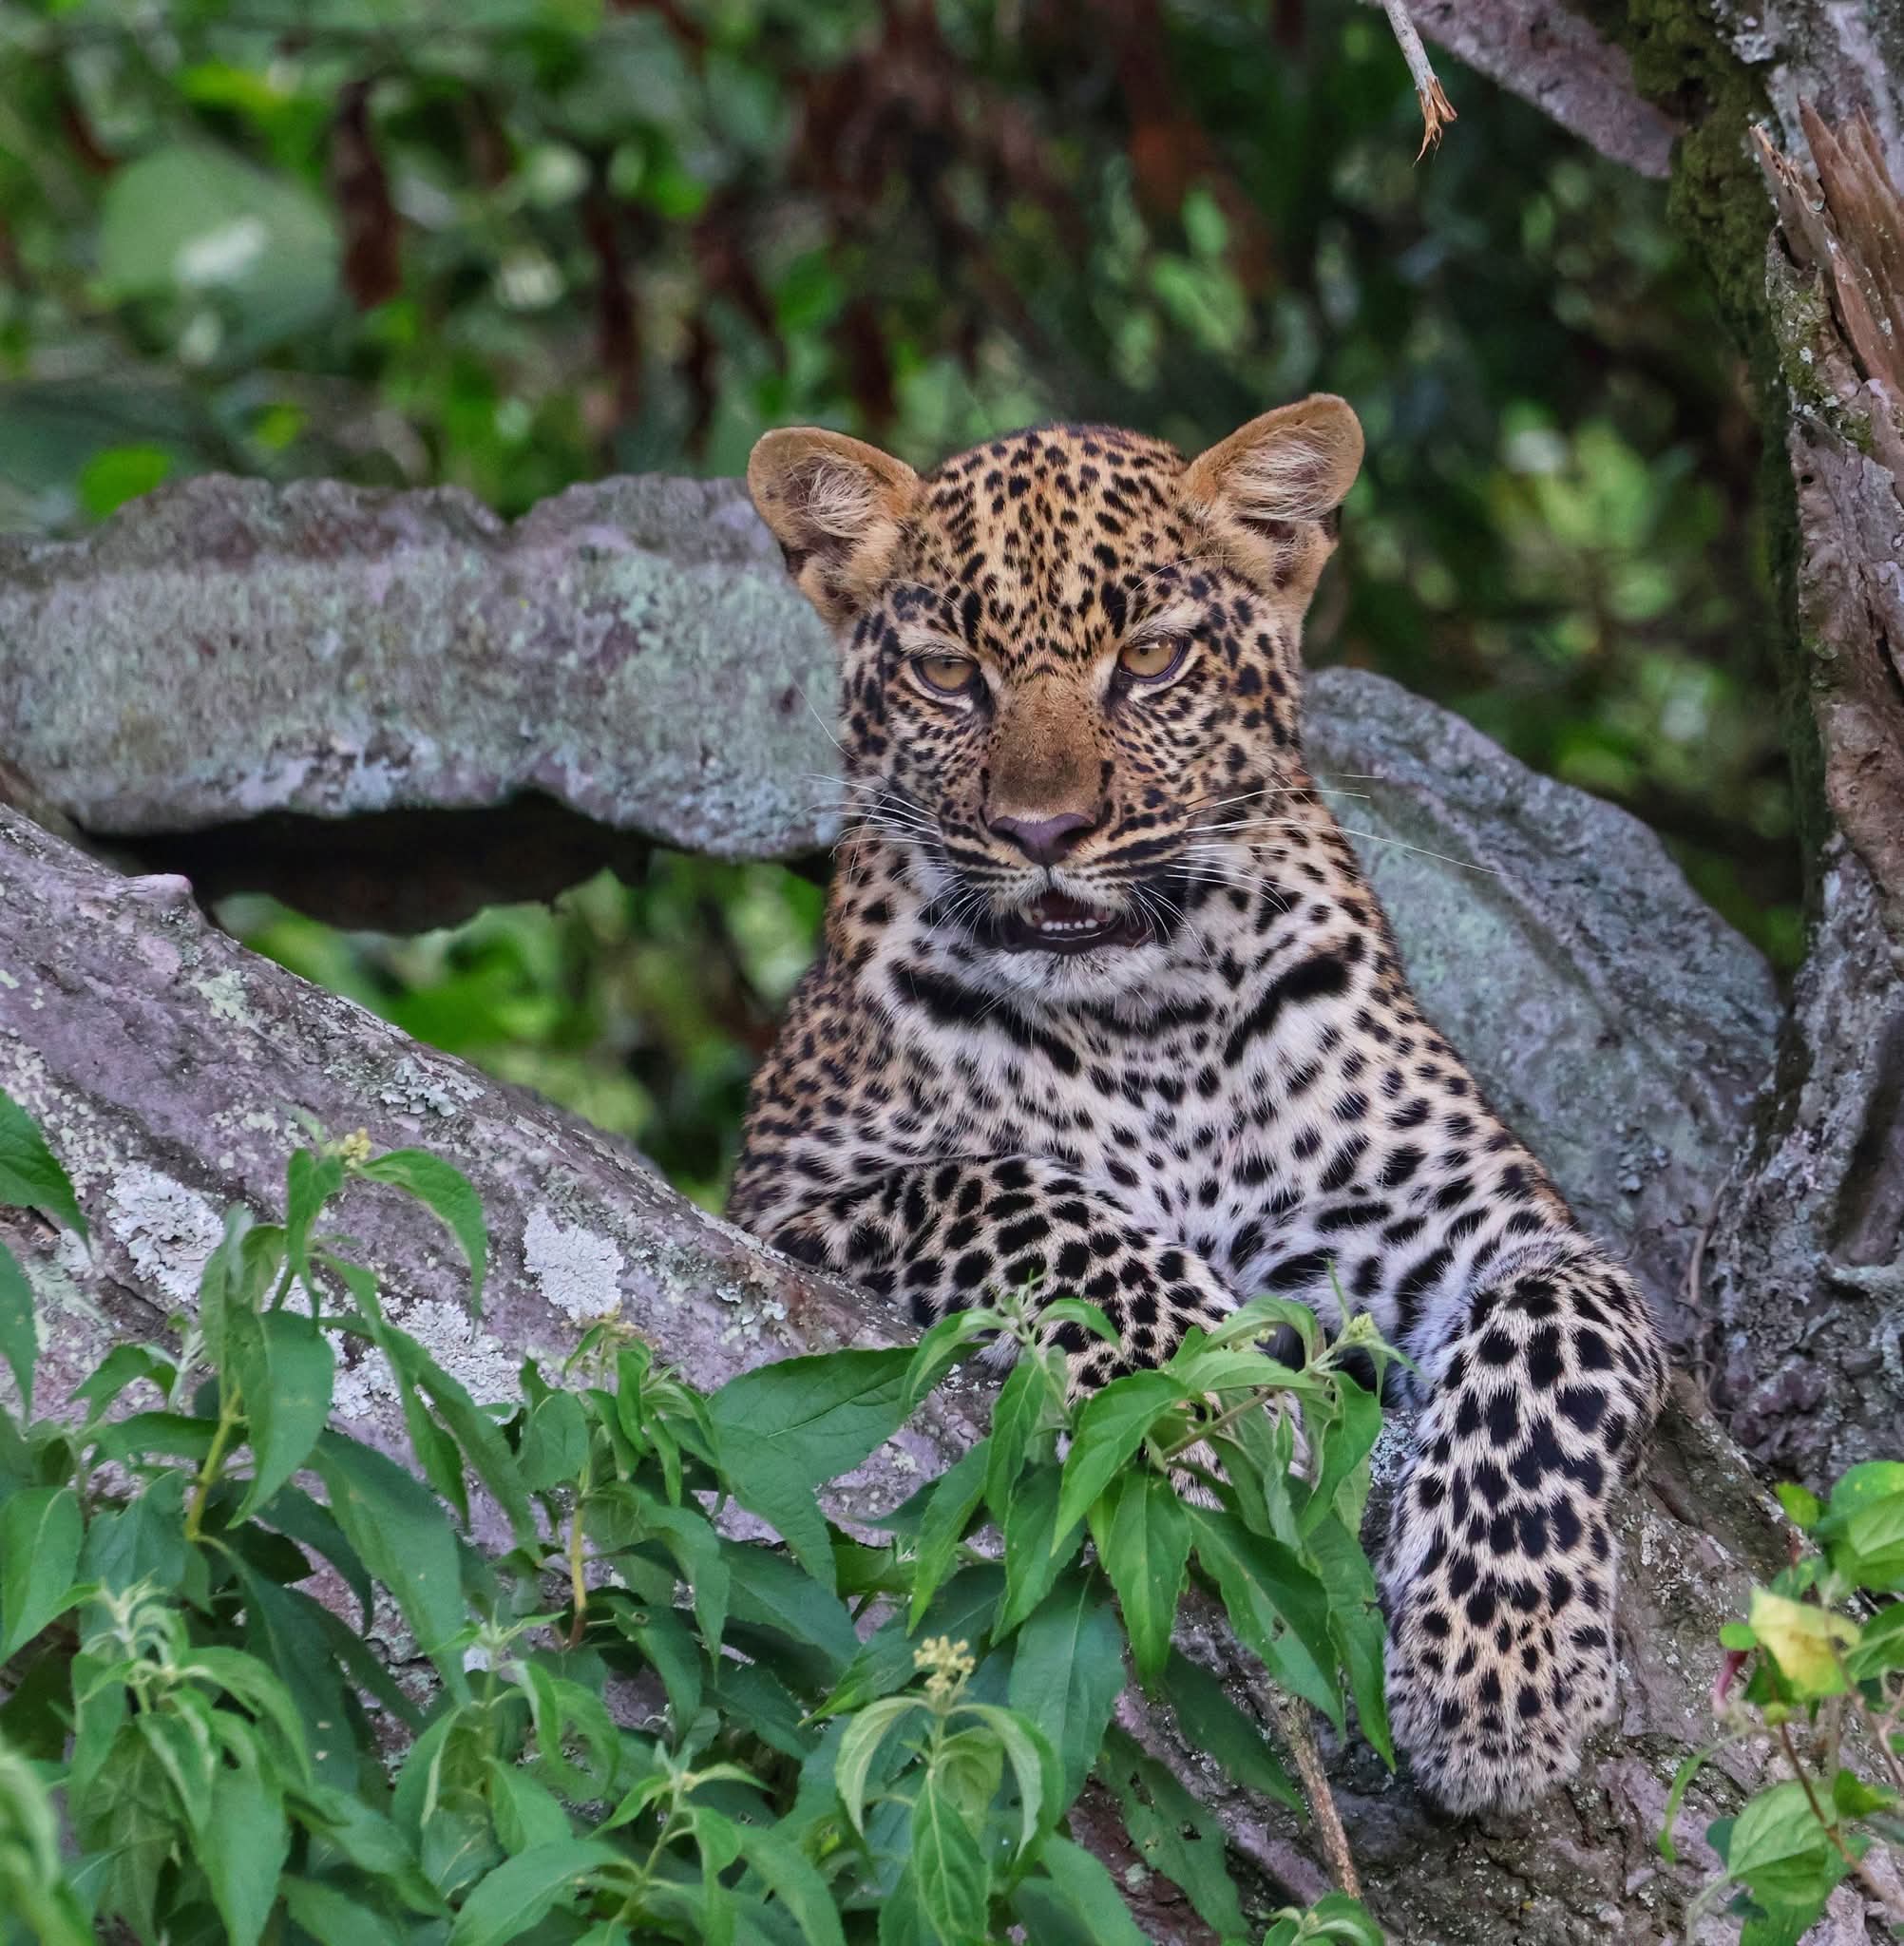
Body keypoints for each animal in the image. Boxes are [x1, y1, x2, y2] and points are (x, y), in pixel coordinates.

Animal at [730, 396, 1668, 1815]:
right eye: (950, 673)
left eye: (1154, 657)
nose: (1045, 831)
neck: (1149, 1022)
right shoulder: (791, 1196)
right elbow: (1028, 1198)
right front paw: (1233, 1394)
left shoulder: (1500, 1227)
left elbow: (1546, 1346)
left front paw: (1500, 1670)